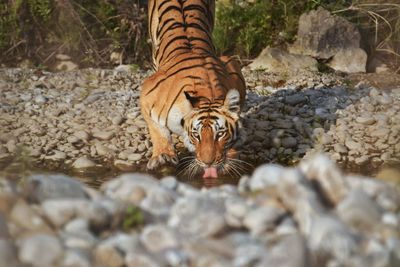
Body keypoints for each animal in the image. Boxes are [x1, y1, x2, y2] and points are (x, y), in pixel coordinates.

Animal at [141, 0, 247, 180]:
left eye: (220, 134)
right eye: (196, 135)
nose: (208, 163)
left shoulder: (233, 67)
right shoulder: (147, 93)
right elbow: (157, 130)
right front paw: (163, 156)